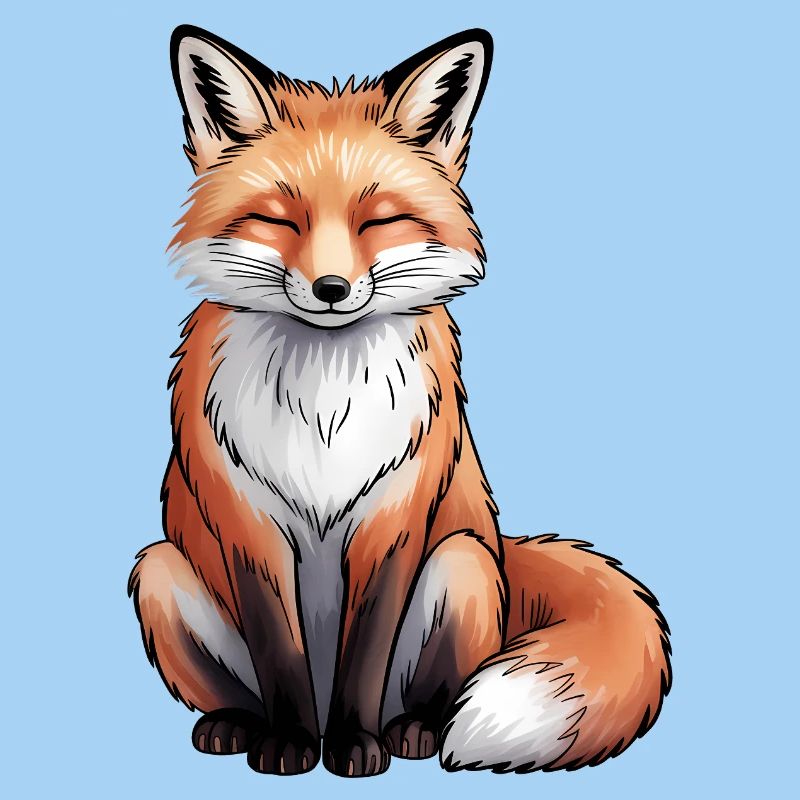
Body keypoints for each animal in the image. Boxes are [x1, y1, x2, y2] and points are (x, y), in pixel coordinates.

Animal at [128, 25, 671, 778]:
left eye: (379, 221)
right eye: (277, 219)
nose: (330, 288)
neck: (324, 410)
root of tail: (504, 547)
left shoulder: (393, 518)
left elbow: (366, 650)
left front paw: (353, 746)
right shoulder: (248, 525)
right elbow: (279, 649)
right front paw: (291, 745)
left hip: (463, 563)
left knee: (431, 697)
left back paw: (410, 733)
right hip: (158, 569)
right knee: (238, 687)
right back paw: (238, 725)